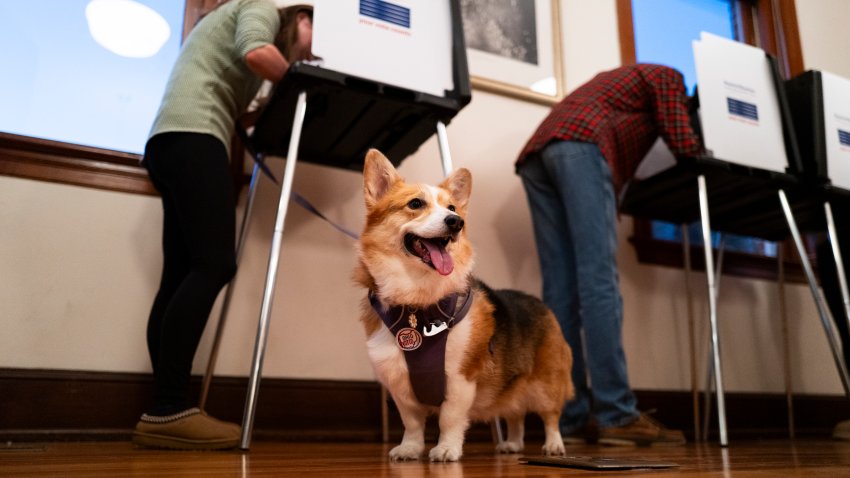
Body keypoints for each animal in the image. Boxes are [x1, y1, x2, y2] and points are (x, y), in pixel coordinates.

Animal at [352, 150, 568, 464]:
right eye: (415, 204)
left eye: (452, 207)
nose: (456, 222)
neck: (418, 301)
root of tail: (539, 302)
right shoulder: (401, 385)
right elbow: (412, 424)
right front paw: (410, 449)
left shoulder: (460, 379)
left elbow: (449, 420)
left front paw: (446, 449)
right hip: (511, 385)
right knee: (515, 415)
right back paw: (512, 444)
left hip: (545, 383)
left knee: (550, 416)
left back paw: (553, 446)